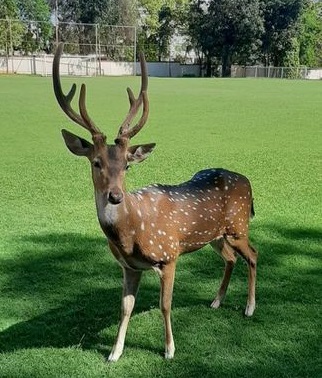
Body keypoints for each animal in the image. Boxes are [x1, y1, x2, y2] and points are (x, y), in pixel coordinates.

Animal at [52, 42, 260, 362]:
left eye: (127, 165)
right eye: (96, 162)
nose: (115, 195)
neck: (131, 232)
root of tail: (248, 181)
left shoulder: (169, 254)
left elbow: (165, 304)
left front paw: (169, 349)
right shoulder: (129, 266)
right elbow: (125, 307)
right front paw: (114, 352)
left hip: (238, 226)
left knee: (253, 254)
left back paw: (249, 307)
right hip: (215, 236)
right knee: (230, 258)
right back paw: (216, 301)